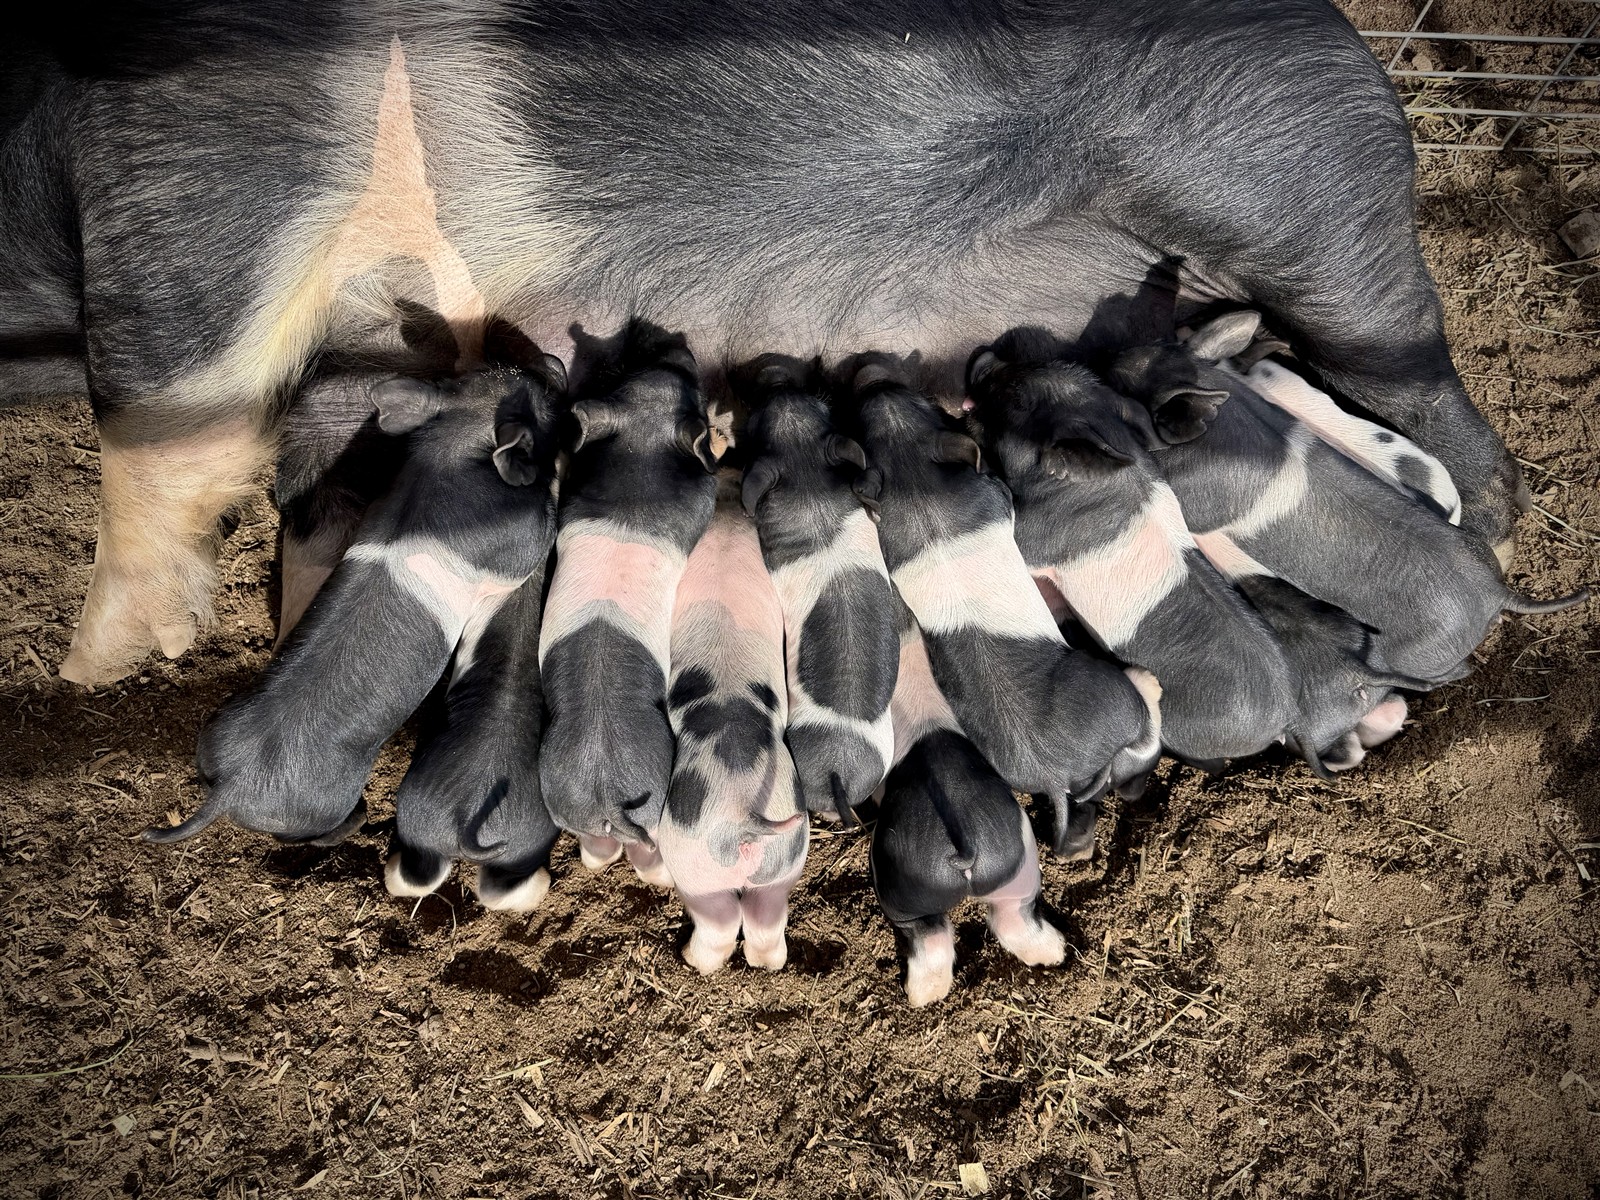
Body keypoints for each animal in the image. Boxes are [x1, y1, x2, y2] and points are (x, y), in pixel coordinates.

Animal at [144, 338, 567, 845]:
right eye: (538, 401)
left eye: (496, 370)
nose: (553, 362)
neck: (449, 450)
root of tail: (230, 786)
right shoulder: (513, 541)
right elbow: (534, 537)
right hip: (325, 800)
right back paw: (359, 822)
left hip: (212, 739)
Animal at [537, 318, 719, 870]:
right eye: (693, 391)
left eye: (628, 370)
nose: (675, 340)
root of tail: (606, 795)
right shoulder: (700, 500)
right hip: (656, 775)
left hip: (562, 793)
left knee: (597, 846)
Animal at [655, 471, 808, 973]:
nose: (725, 474)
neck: (722, 527)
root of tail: (744, 819)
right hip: (783, 861)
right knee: (766, 920)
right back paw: (768, 966)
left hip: (694, 867)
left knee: (719, 923)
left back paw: (690, 961)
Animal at [844, 353, 1161, 861]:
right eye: (924, 402)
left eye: (911, 400)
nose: (870, 369)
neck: (916, 486)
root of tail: (1053, 775)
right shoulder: (994, 495)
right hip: (1112, 694)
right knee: (1142, 716)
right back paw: (1148, 681)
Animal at [872, 602, 1071, 1007]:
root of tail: (962, 846)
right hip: (1017, 865)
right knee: (1013, 919)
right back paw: (1056, 954)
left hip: (901, 893)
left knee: (925, 934)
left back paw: (917, 998)